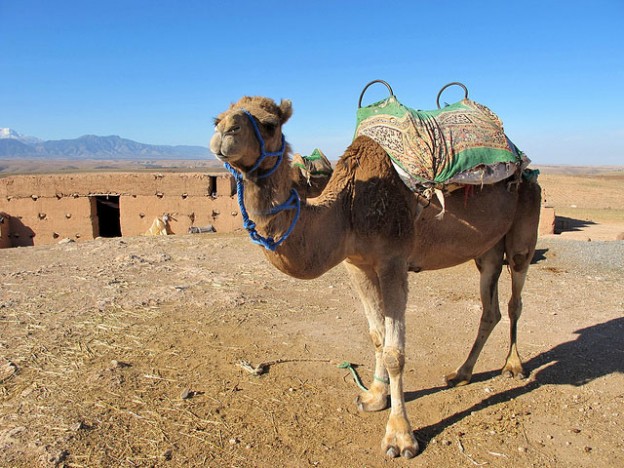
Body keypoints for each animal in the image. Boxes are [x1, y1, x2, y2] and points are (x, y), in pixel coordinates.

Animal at [210, 94, 540, 458]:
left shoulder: (393, 261)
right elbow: (378, 335)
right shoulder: (357, 264)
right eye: (218, 118)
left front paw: (400, 436)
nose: (224, 133)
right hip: (487, 250)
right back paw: (461, 373)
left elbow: (396, 352)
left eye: (269, 124)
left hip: (525, 227)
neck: (347, 209)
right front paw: (375, 396)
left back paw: (514, 365)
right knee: (490, 307)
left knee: (515, 298)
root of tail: (523, 164)